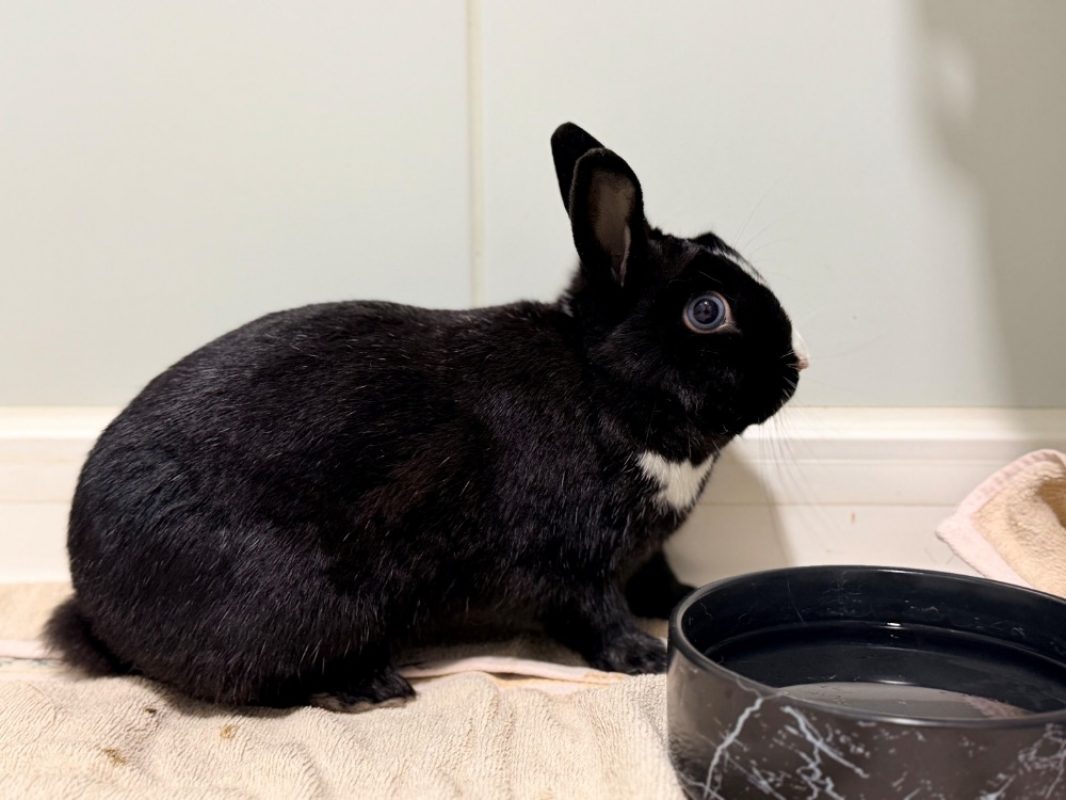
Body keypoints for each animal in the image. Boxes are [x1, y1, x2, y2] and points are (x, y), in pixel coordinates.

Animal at [46, 122, 806, 711]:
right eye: (707, 311)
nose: (797, 364)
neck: (606, 385)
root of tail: (96, 605)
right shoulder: (570, 559)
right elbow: (595, 612)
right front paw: (644, 657)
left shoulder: (644, 549)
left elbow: (656, 577)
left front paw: (688, 596)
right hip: (301, 607)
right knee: (262, 684)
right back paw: (367, 687)